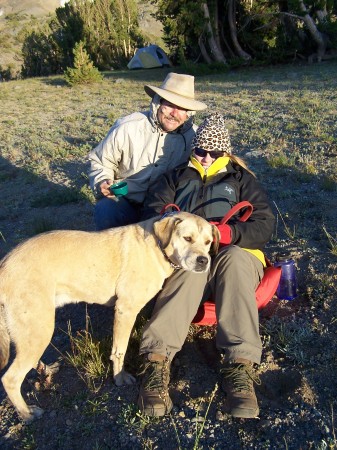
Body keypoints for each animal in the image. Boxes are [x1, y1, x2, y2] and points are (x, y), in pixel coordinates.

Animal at [0, 211, 219, 422]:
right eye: (187, 238)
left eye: (208, 242)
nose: (204, 261)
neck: (157, 247)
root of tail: (4, 265)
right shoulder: (125, 309)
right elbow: (119, 350)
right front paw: (120, 378)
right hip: (39, 329)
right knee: (10, 379)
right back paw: (27, 413)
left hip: (33, 330)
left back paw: (44, 372)